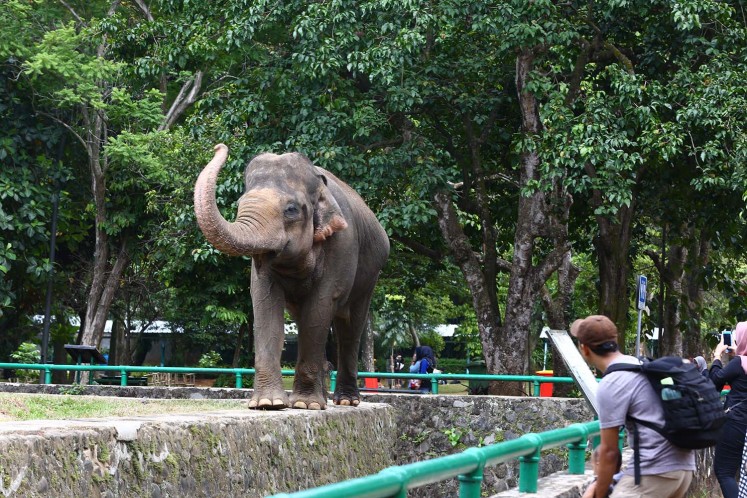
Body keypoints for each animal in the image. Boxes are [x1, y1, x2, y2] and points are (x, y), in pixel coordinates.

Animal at [193, 143, 392, 408]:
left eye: (291, 210)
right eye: (239, 203)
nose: (219, 147)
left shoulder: (342, 245)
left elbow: (320, 306)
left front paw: (304, 405)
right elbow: (265, 301)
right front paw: (268, 404)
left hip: (370, 275)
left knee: (351, 325)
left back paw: (345, 401)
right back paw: (324, 399)